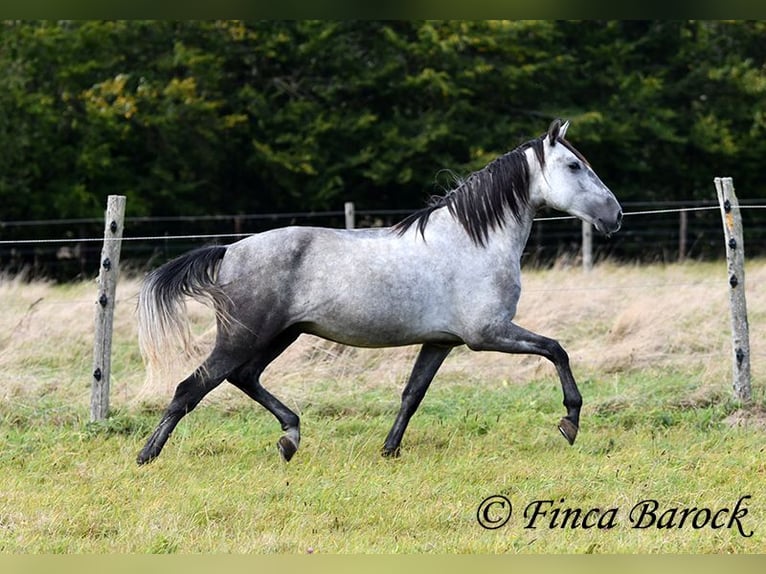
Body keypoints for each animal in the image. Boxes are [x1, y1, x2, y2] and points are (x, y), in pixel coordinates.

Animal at [135, 119, 620, 466]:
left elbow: (412, 394)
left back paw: (290, 437)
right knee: (192, 386)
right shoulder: (488, 334)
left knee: (243, 377)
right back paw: (146, 455)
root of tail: (229, 250)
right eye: (574, 166)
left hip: (281, 334)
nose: (614, 215)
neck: (473, 241)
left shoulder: (441, 342)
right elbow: (557, 350)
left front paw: (389, 449)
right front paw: (570, 421)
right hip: (244, 335)